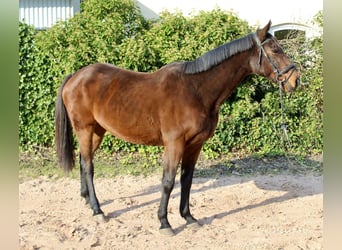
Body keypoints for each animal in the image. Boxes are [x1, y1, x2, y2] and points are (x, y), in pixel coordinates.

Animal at [54, 20, 298, 235]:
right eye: (275, 49)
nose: (295, 79)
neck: (196, 90)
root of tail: (75, 76)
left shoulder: (195, 145)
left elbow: (186, 180)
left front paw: (188, 217)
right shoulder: (174, 143)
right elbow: (168, 182)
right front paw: (164, 223)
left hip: (97, 131)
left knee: (84, 161)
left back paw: (87, 200)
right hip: (85, 129)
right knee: (88, 166)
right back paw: (98, 210)